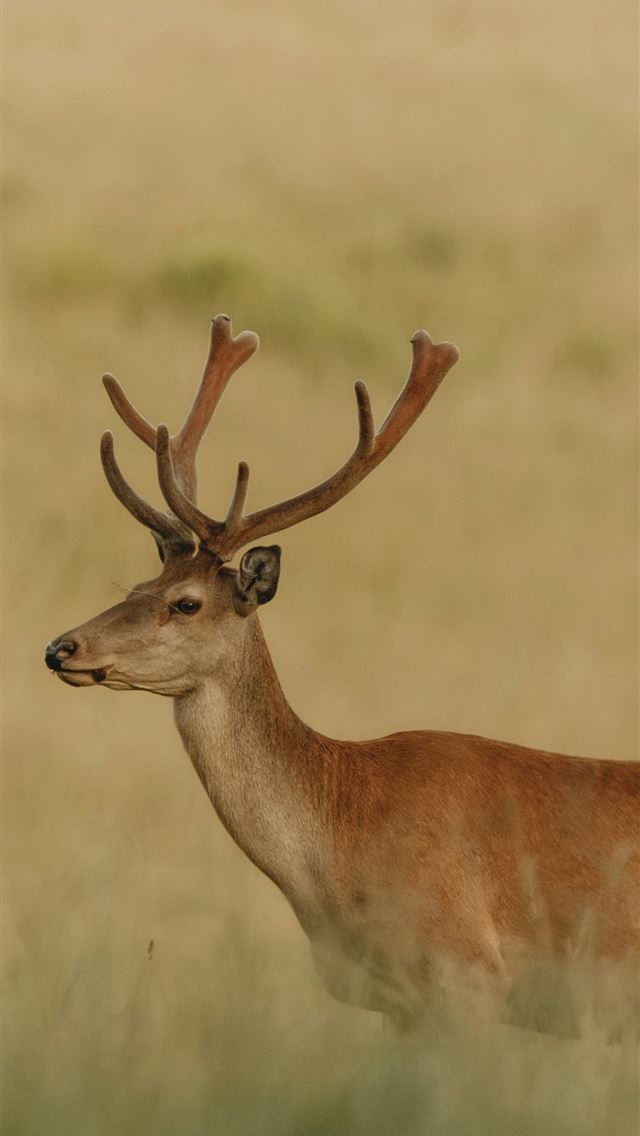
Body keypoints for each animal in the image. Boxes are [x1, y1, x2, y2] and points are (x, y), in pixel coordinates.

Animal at [45, 315, 639, 1036]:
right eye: (135, 585)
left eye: (185, 602)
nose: (61, 647)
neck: (334, 849)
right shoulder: (396, 1001)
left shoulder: (466, 972)